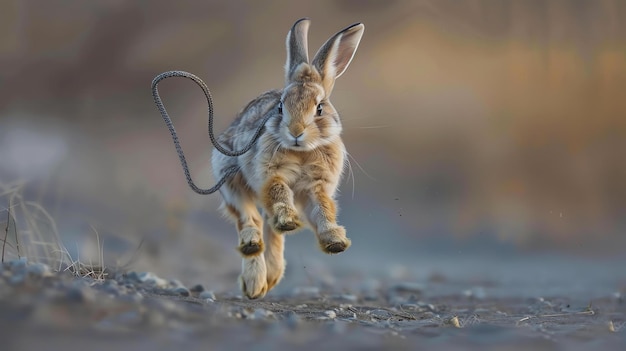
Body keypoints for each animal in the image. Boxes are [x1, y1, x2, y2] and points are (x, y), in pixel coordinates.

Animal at [212, 18, 364, 300]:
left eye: (319, 108)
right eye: (281, 107)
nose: (295, 132)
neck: (302, 151)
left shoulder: (316, 186)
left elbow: (322, 209)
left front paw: (335, 241)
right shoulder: (272, 176)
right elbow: (279, 194)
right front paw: (290, 220)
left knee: (271, 229)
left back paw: (269, 279)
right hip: (229, 178)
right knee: (250, 218)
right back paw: (253, 273)